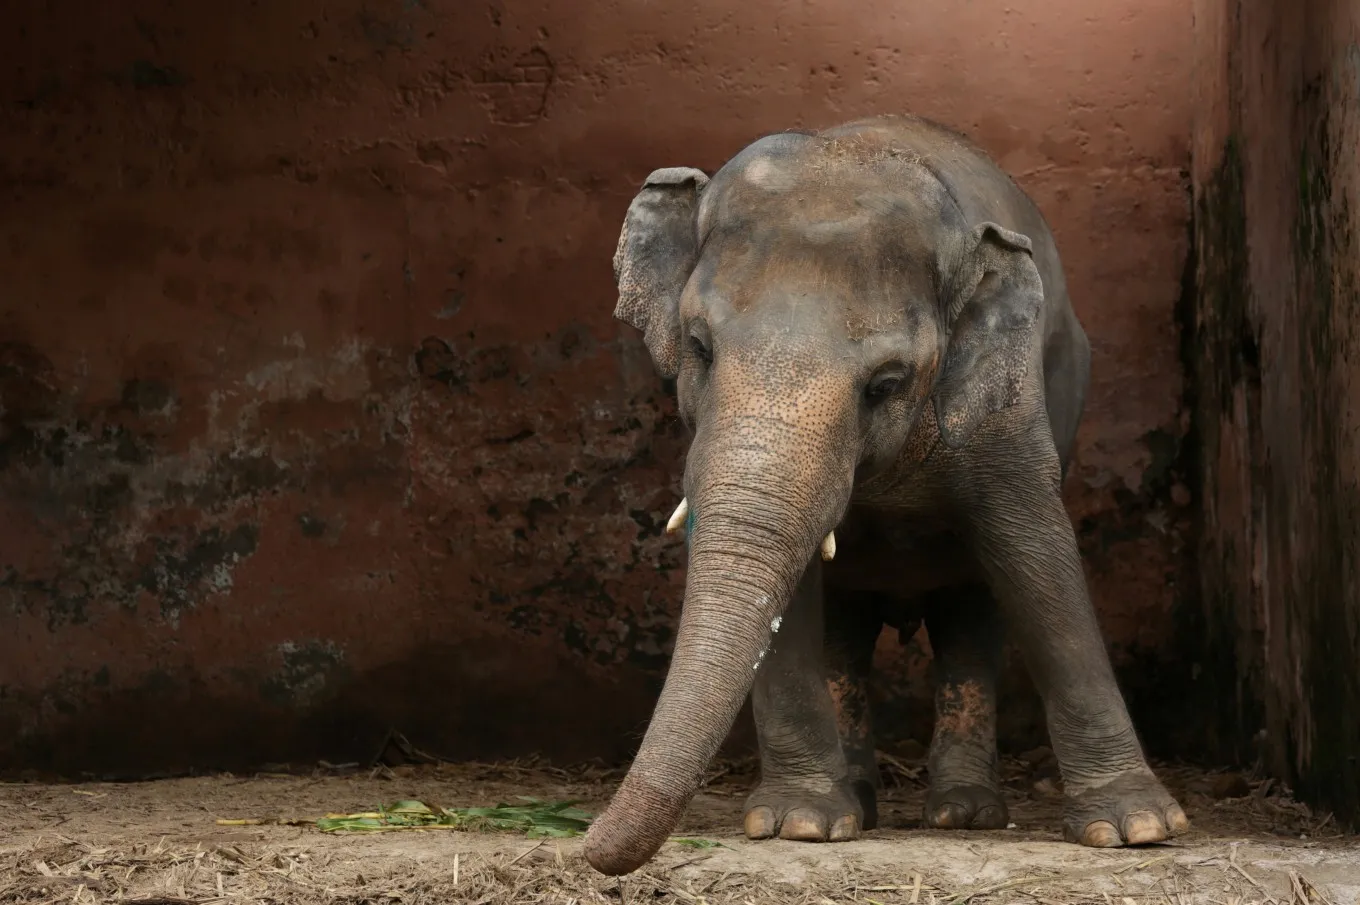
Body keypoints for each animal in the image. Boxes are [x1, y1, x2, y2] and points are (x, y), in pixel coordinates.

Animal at [584, 114, 1191, 876]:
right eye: (699, 348)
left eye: (886, 384)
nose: (583, 844)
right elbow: (794, 590)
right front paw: (800, 824)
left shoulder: (1010, 406)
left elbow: (1038, 555)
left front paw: (1138, 827)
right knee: (847, 629)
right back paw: (862, 805)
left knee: (973, 615)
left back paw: (965, 813)